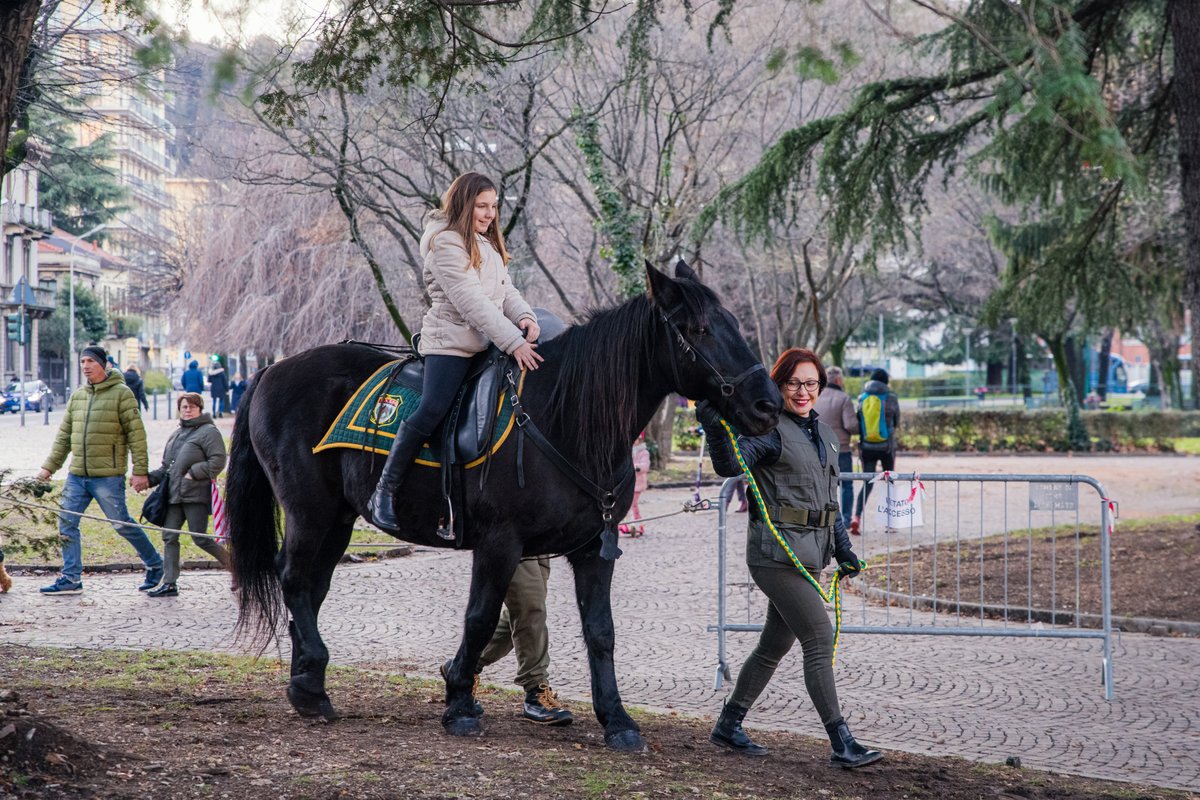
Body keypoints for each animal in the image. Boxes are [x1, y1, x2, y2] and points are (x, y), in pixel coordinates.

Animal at [225, 261, 781, 752]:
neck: (565, 416)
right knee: (294, 577)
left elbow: (600, 632)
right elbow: (479, 617)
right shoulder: (499, 543)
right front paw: (458, 703)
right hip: (309, 510)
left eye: (734, 325)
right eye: (700, 329)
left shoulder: (595, 550)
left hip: (338, 518)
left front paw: (617, 720)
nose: (768, 404)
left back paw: (307, 682)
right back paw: (311, 683)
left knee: (313, 588)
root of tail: (272, 369)